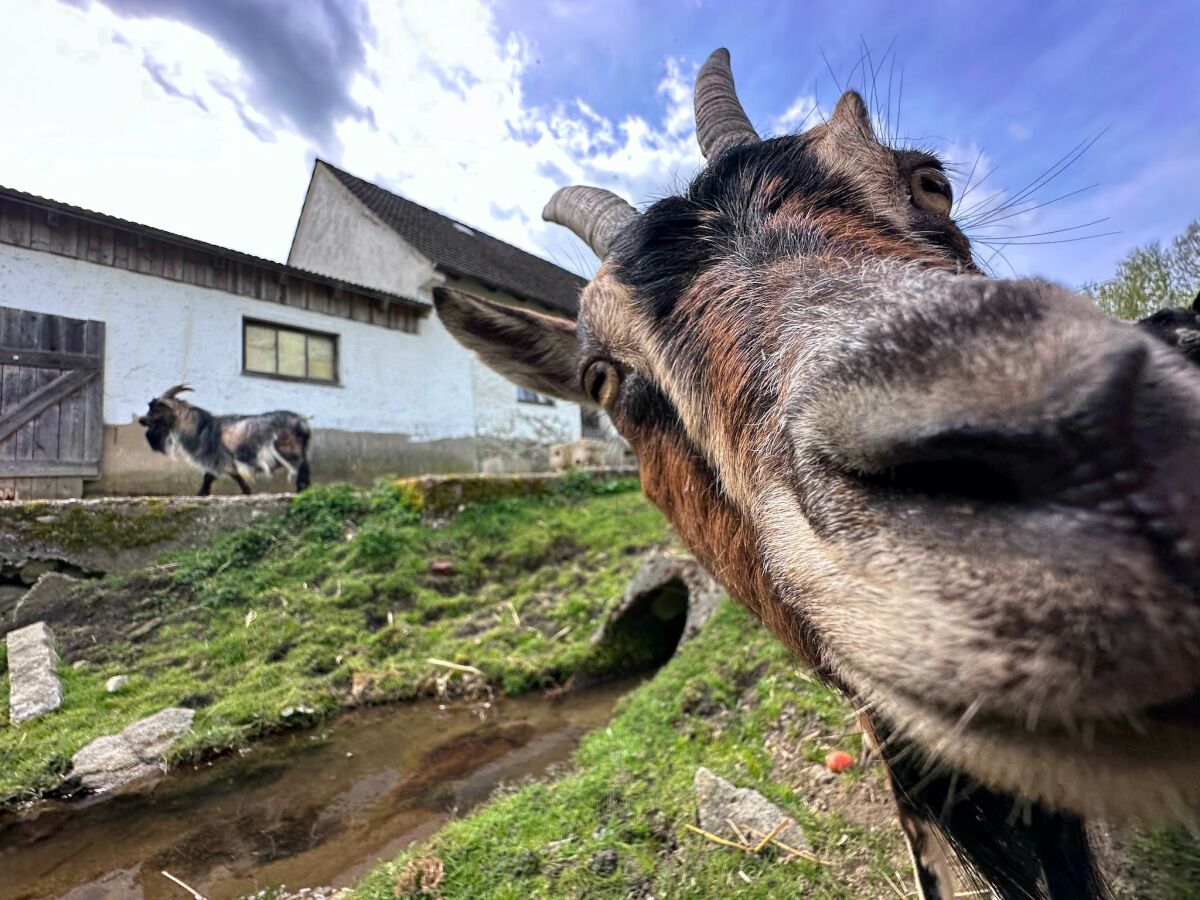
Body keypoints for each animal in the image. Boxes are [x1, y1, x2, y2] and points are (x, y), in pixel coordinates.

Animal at [138, 384, 312, 496]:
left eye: (156, 409)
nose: (141, 420)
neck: (202, 428)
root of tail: (302, 423)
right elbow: (212, 475)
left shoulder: (220, 458)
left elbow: (216, 476)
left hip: (288, 449)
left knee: (301, 468)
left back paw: (301, 491)